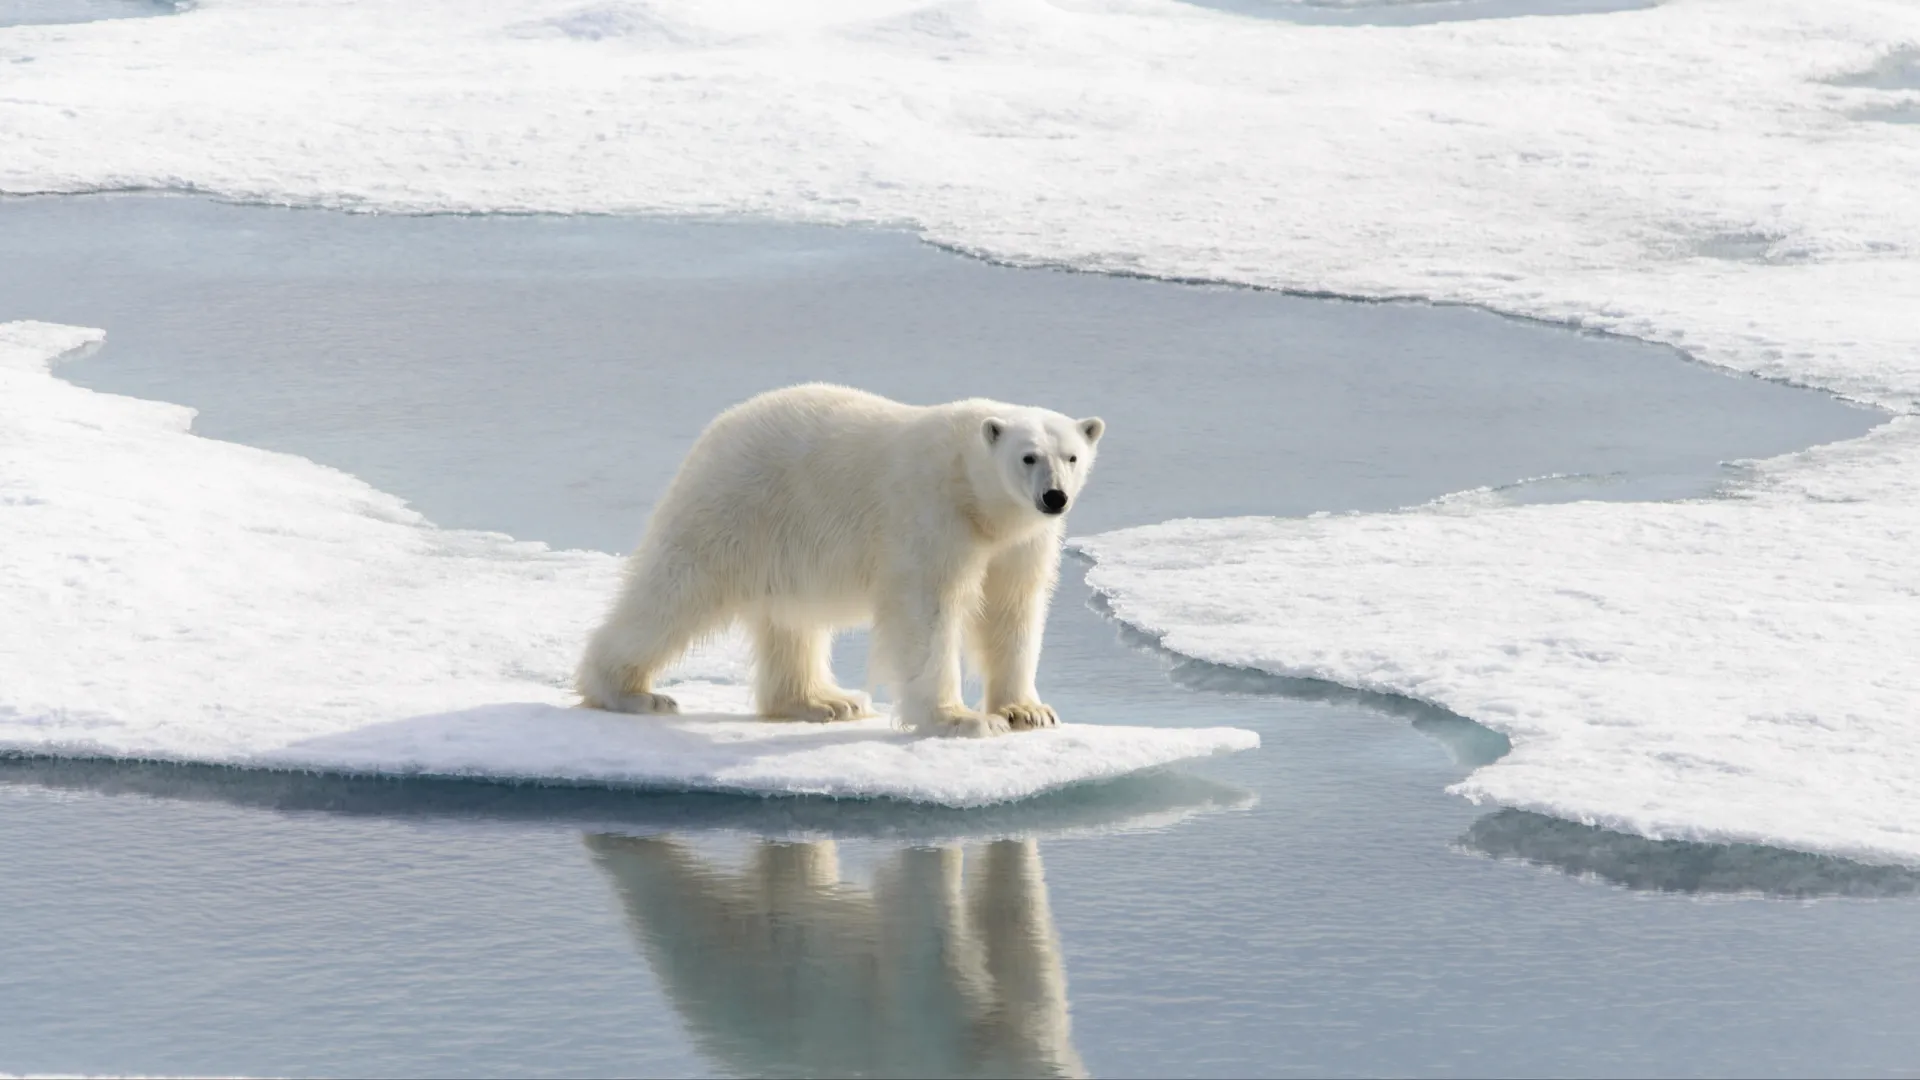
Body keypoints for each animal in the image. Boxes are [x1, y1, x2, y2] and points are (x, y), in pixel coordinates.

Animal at [576, 382, 1105, 734]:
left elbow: (1012, 608)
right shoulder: (929, 512)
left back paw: (825, 702)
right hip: (735, 506)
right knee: (674, 592)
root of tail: (718, 428)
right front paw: (961, 719)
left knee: (791, 622)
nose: (1054, 497)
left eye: (1072, 456)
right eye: (1028, 457)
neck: (975, 495)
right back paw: (632, 693)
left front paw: (1027, 711)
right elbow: (927, 610)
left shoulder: (1019, 542)